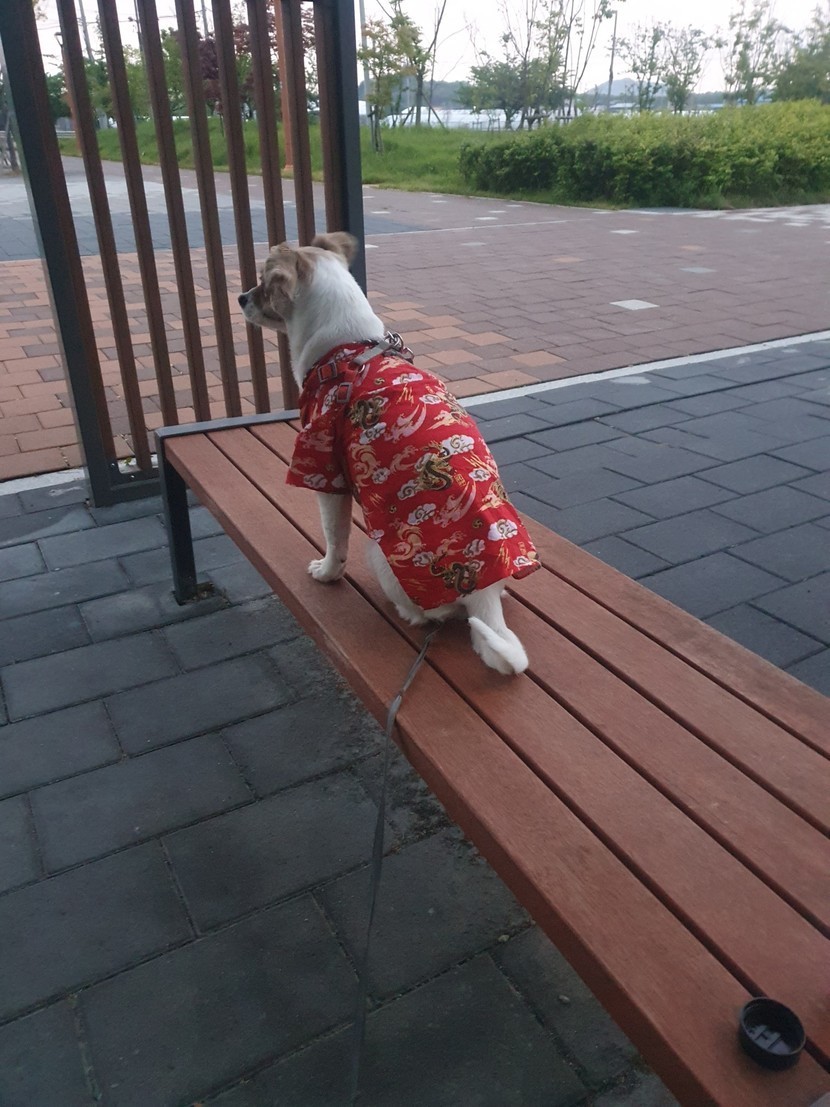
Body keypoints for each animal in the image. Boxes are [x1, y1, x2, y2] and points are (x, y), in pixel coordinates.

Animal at [238, 232, 539, 674]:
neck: (349, 348)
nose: (241, 297)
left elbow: (334, 539)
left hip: (377, 554)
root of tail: (480, 591)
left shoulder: (325, 472)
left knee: (429, 613)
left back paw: (407, 611)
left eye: (264, 283)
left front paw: (326, 572)